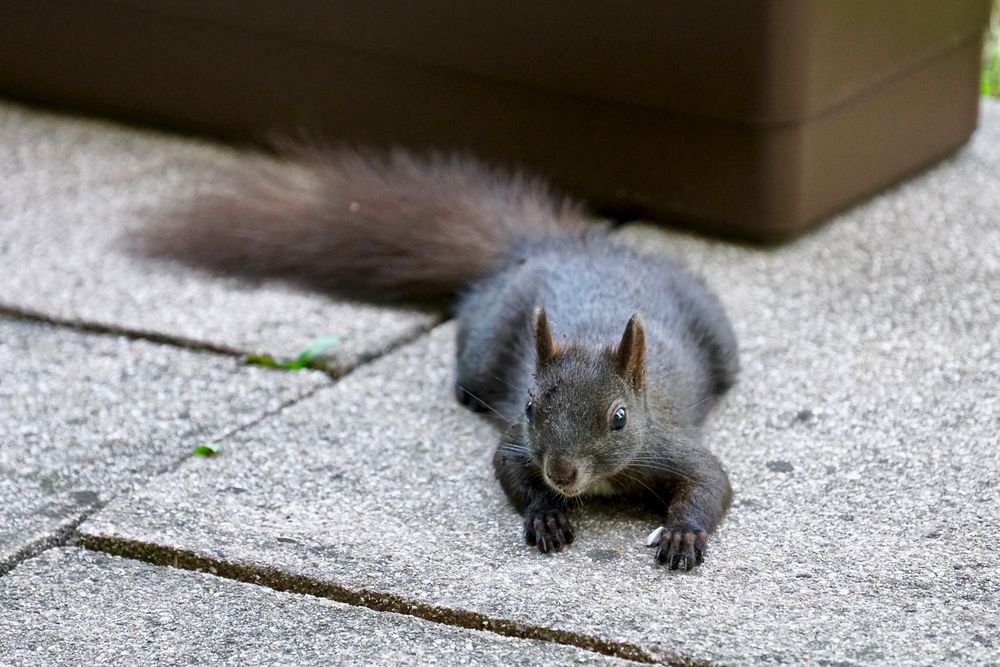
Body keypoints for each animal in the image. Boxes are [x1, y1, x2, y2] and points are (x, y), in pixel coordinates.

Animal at [137, 145, 740, 568]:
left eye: (619, 418)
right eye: (529, 407)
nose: (563, 472)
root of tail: (556, 247)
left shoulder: (665, 443)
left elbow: (711, 481)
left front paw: (683, 534)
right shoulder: (518, 443)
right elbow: (507, 468)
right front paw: (546, 515)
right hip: (481, 347)